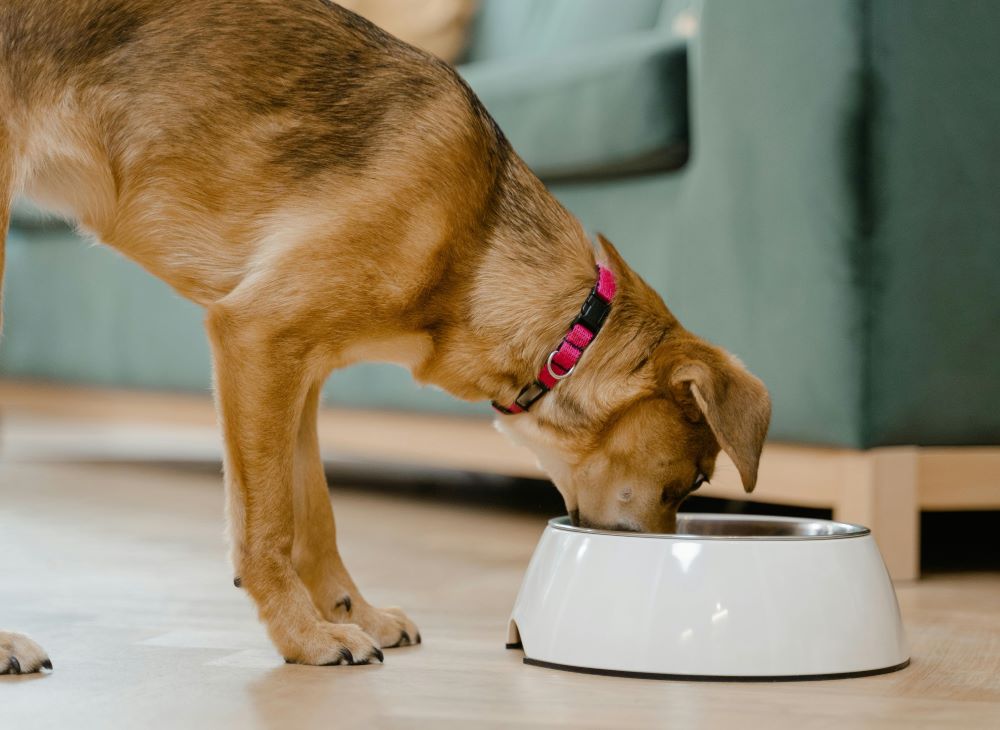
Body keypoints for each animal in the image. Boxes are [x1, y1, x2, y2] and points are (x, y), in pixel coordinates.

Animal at [0, 0, 772, 672]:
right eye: (691, 481)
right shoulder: (256, 336)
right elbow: (268, 524)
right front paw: (304, 637)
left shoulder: (297, 374)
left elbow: (314, 515)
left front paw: (351, 614)